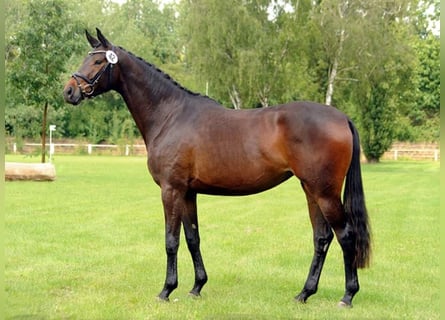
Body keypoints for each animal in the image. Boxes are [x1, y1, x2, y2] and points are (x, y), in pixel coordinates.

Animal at [61, 28, 368, 306]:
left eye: (98, 61)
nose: (69, 91)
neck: (170, 115)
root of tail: (341, 117)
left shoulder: (171, 190)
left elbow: (171, 240)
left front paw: (166, 290)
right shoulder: (188, 192)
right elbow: (192, 238)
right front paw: (197, 287)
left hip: (325, 192)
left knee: (346, 235)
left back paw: (347, 296)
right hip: (310, 189)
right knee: (322, 238)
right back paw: (304, 294)